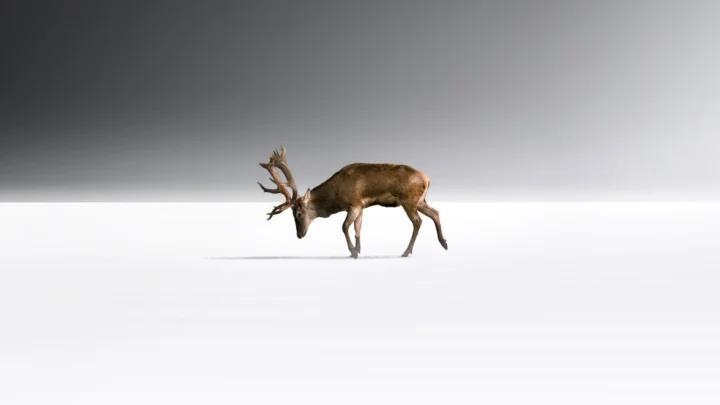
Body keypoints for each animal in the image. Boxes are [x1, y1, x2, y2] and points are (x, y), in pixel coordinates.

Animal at [257, 145, 448, 258]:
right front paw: (358, 250)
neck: (336, 195)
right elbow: (357, 228)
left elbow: (344, 226)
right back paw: (444, 243)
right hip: (419, 200)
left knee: (418, 221)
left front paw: (352, 252)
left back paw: (406, 251)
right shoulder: (361, 206)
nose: (299, 234)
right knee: (435, 212)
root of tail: (427, 179)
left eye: (298, 213)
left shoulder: (354, 203)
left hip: (409, 200)